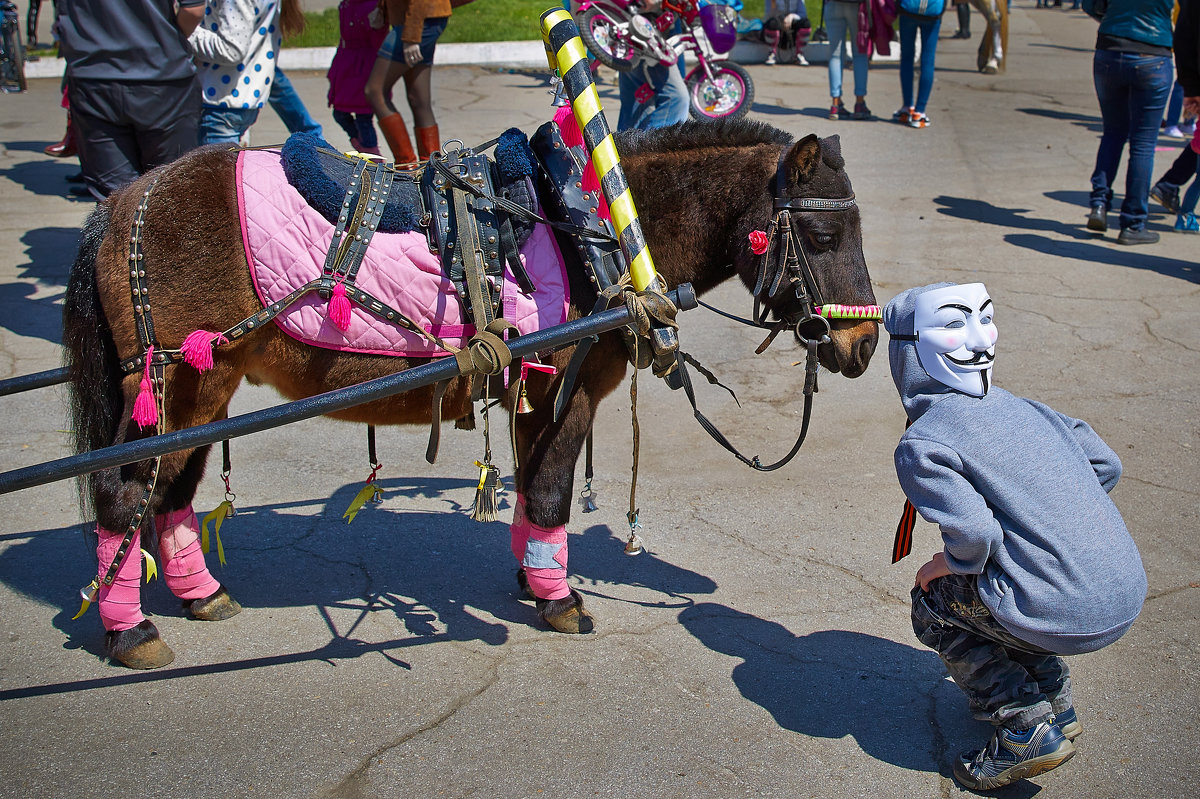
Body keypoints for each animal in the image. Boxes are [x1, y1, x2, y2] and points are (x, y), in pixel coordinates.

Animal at [60, 116, 878, 667]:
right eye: (825, 240)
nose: (863, 345)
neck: (596, 231)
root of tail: (126, 200)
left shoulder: (536, 393)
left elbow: (528, 487)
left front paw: (534, 575)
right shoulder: (568, 392)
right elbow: (549, 491)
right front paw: (561, 599)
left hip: (200, 392)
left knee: (169, 492)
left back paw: (198, 593)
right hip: (176, 383)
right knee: (121, 493)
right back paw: (132, 628)